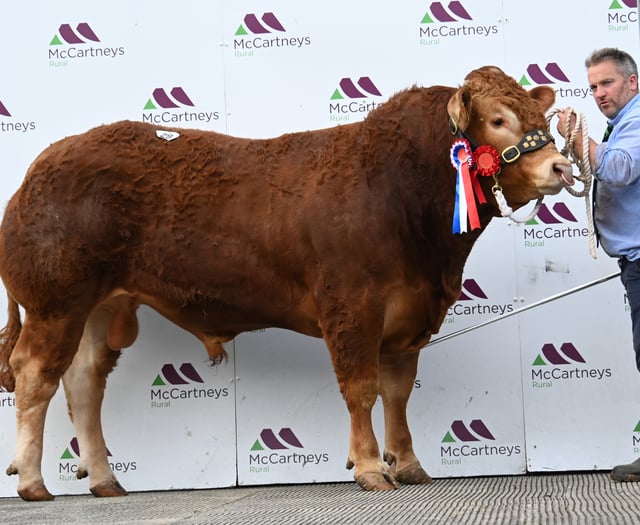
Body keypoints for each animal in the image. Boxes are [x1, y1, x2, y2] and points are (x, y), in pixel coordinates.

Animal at [0, 66, 573, 501]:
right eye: (497, 120)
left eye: (541, 118)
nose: (562, 167)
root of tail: (43, 163)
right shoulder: (352, 307)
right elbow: (362, 389)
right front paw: (370, 467)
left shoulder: (408, 317)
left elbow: (397, 394)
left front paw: (409, 464)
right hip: (56, 303)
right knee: (35, 376)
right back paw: (32, 482)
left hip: (97, 307)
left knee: (82, 382)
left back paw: (104, 479)